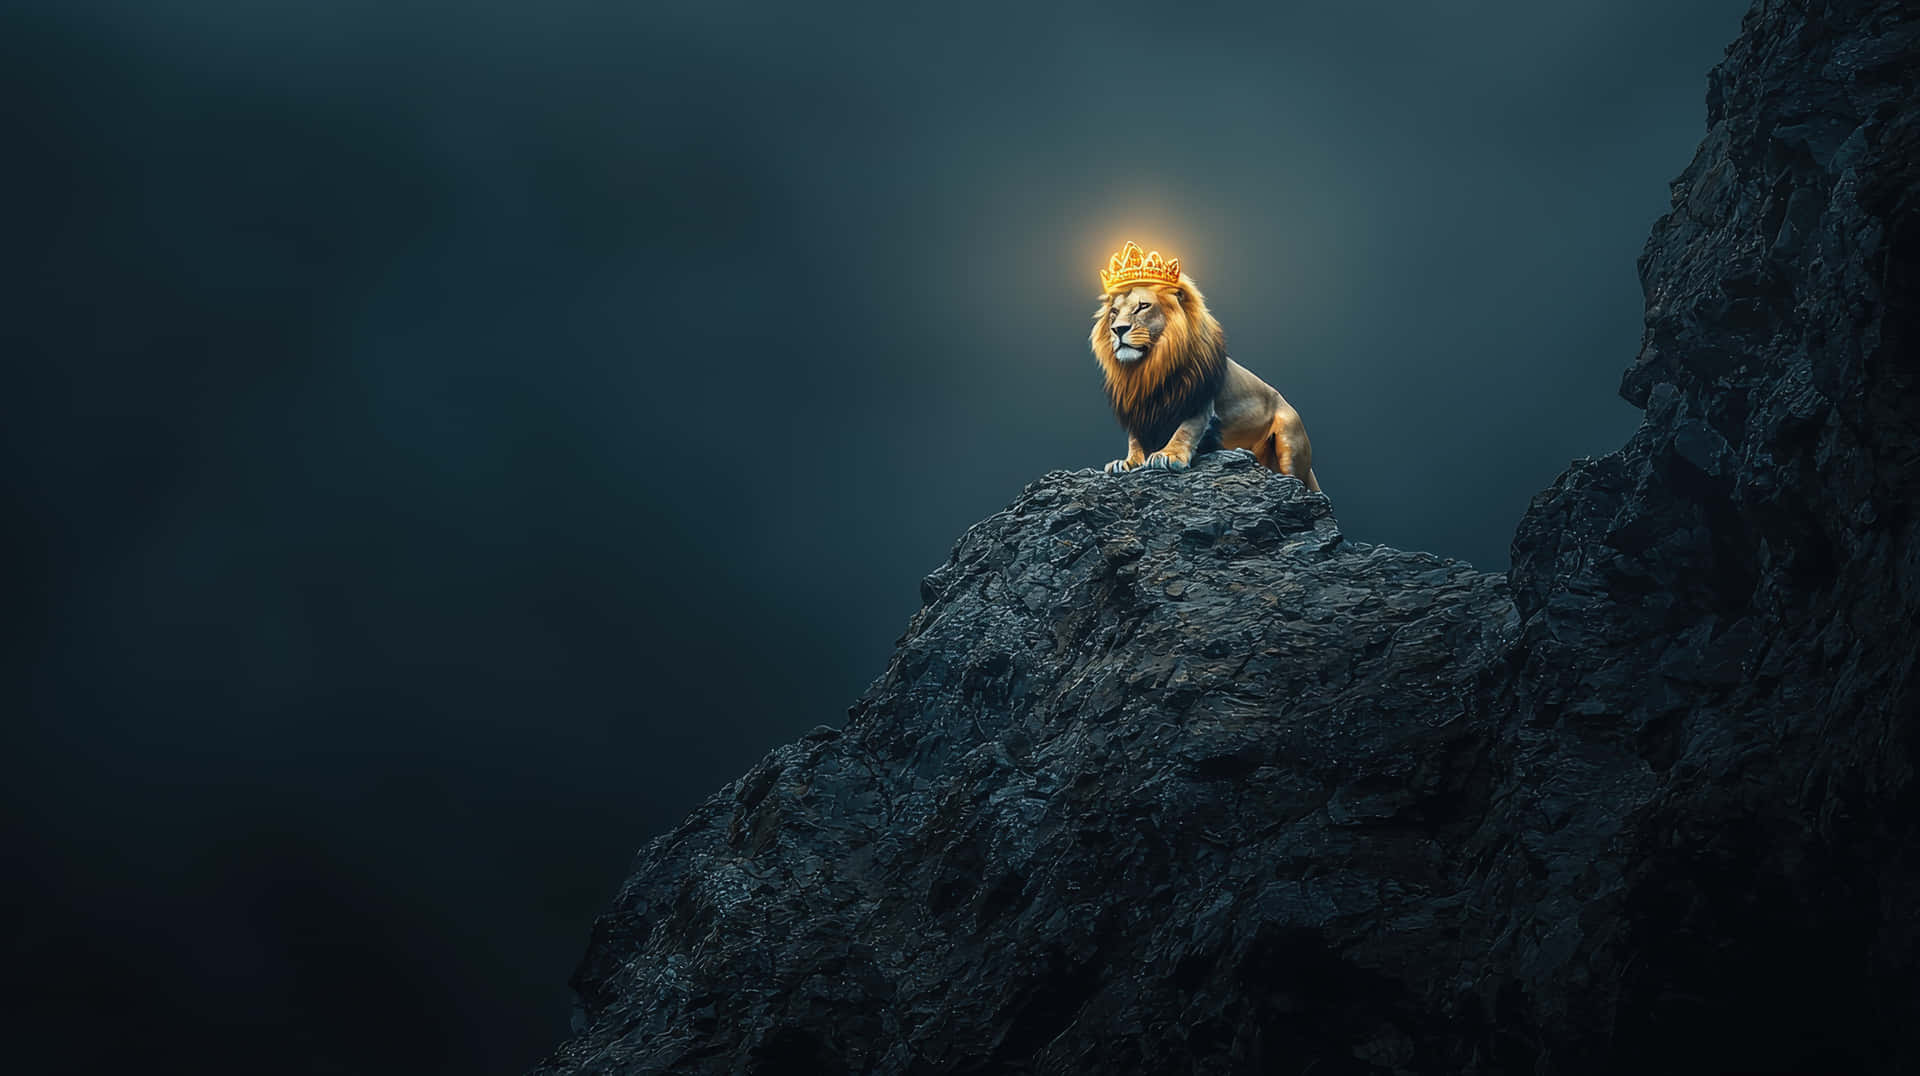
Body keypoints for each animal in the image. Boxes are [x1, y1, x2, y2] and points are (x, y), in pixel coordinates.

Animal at [1090, 244, 1320, 491]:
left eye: (1143, 306)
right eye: (1114, 312)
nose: (1118, 329)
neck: (1148, 368)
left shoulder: (1198, 398)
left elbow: (1186, 428)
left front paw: (1168, 455)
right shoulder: (1137, 407)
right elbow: (1135, 439)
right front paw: (1128, 462)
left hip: (1289, 437)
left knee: (1296, 478)